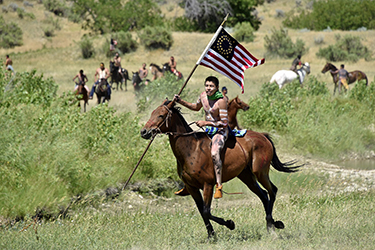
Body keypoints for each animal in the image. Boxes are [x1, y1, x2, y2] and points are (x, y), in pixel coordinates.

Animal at [141, 99, 302, 238]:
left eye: (161, 115)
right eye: (152, 113)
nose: (144, 131)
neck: (191, 149)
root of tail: (263, 136)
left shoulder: (207, 185)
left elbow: (206, 211)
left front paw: (229, 224)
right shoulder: (192, 187)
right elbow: (202, 212)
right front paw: (211, 236)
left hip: (260, 172)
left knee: (272, 191)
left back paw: (272, 224)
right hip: (246, 176)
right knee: (263, 195)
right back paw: (273, 224)